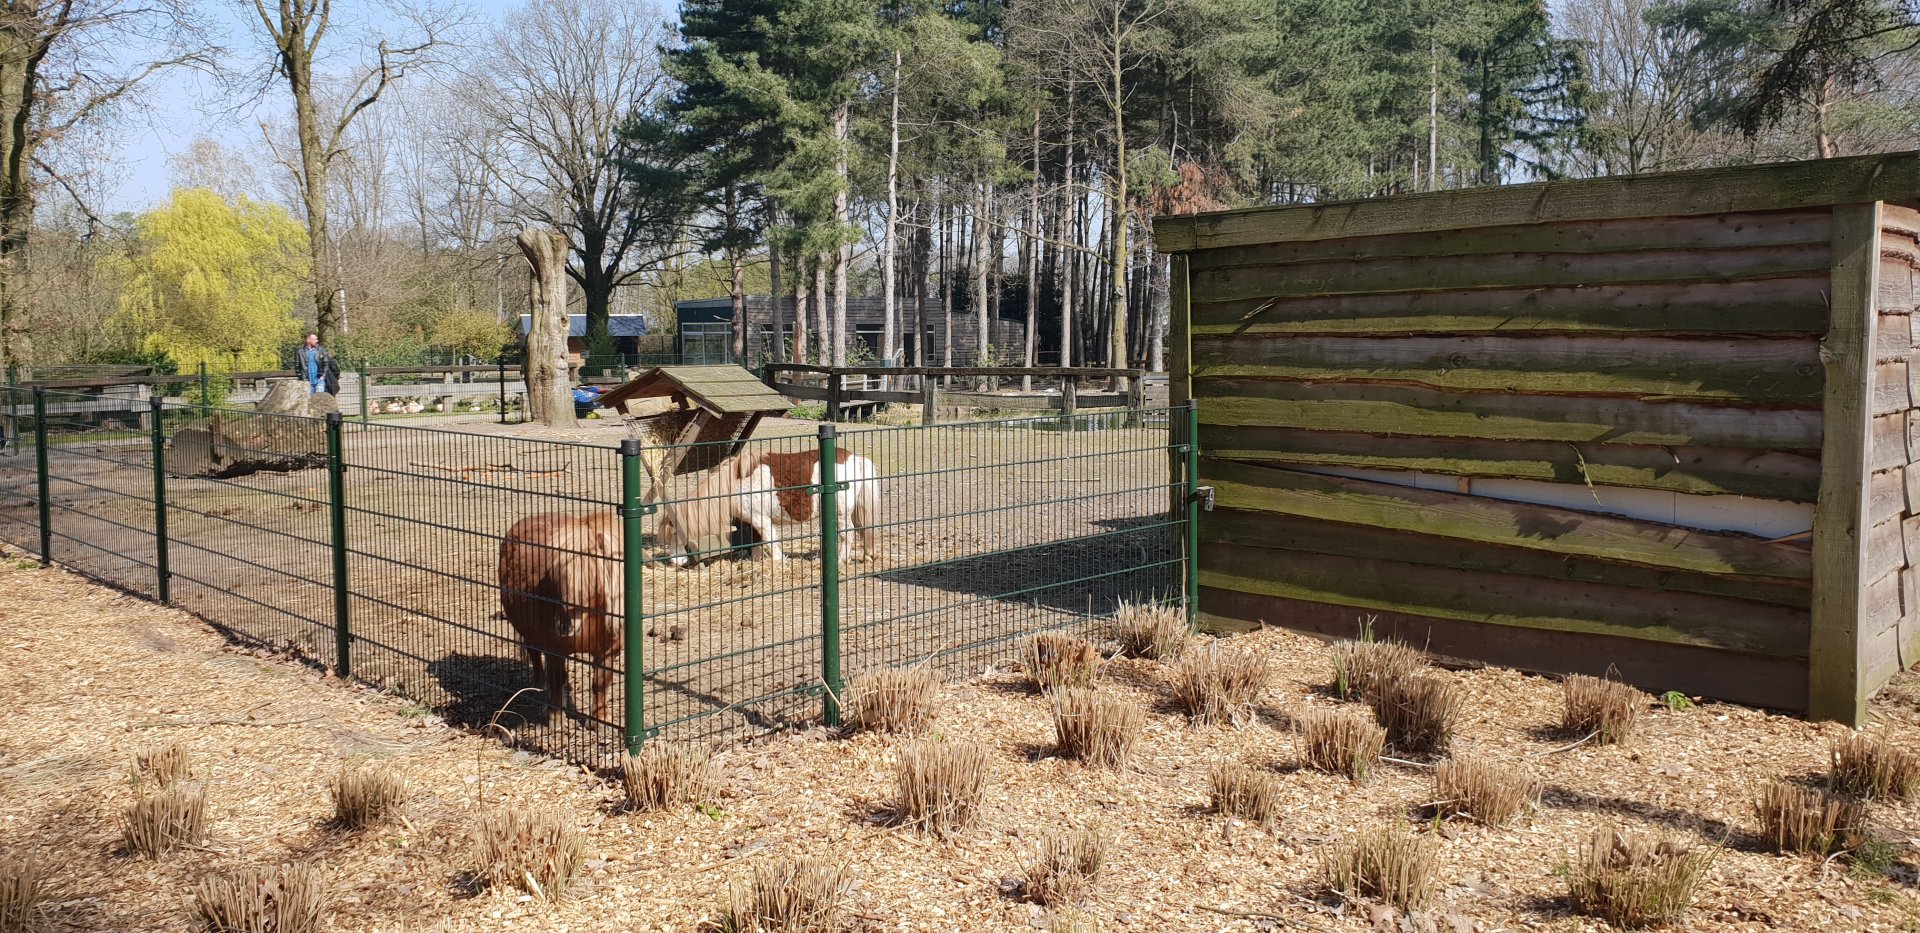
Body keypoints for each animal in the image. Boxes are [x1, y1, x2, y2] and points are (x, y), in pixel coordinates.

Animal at [497, 511, 622, 723]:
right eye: (557, 578)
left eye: (591, 578)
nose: (563, 625)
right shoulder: (553, 649)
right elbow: (557, 678)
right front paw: (555, 717)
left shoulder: (607, 650)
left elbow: (600, 682)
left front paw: (600, 720)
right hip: (529, 633)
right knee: (535, 656)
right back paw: (539, 689)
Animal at [655, 448, 880, 566]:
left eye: (674, 534)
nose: (675, 562)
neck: (734, 484)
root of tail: (855, 458)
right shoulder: (753, 522)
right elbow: (757, 543)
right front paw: (757, 564)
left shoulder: (761, 519)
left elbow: (771, 542)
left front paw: (780, 564)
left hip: (841, 513)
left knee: (847, 535)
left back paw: (841, 560)